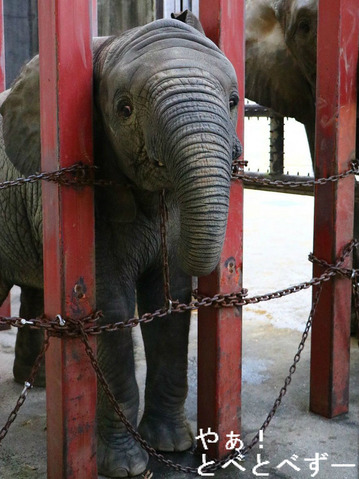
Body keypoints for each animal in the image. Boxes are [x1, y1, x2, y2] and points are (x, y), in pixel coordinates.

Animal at [0, 10, 242, 476]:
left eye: (235, 102)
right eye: (124, 109)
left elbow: (170, 302)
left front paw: (172, 446)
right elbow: (111, 307)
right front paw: (126, 466)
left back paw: (36, 384)